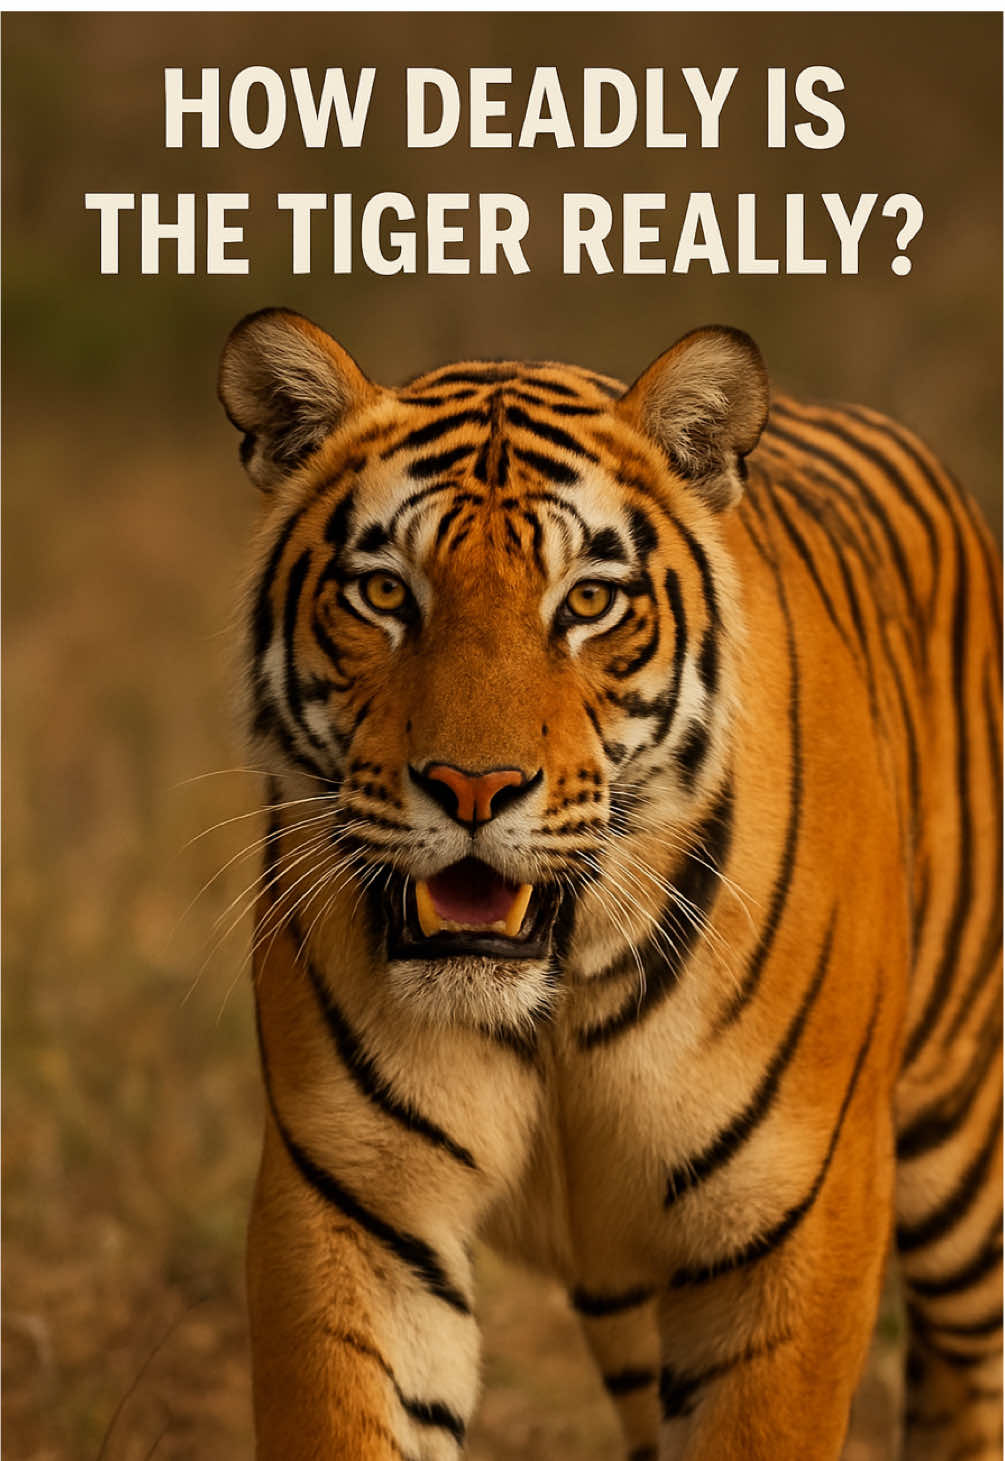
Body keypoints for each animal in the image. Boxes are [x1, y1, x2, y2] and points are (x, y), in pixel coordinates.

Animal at [217, 306, 1002, 1461]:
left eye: (587, 601)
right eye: (385, 592)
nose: (474, 785)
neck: (551, 998)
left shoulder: (795, 1220)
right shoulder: (356, 1205)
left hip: (963, 1155)